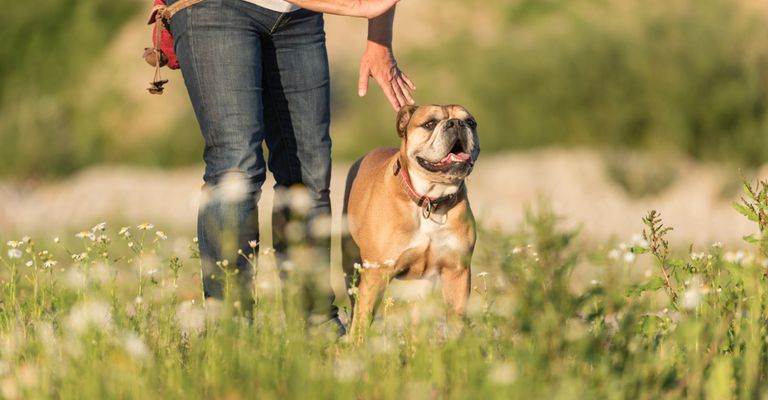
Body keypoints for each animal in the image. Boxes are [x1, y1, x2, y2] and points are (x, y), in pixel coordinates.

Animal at [342, 104, 480, 338]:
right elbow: (362, 319)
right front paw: (357, 345)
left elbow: (457, 319)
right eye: (430, 123)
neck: (430, 200)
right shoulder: (375, 274)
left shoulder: (456, 270)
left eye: (470, 122)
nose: (457, 123)